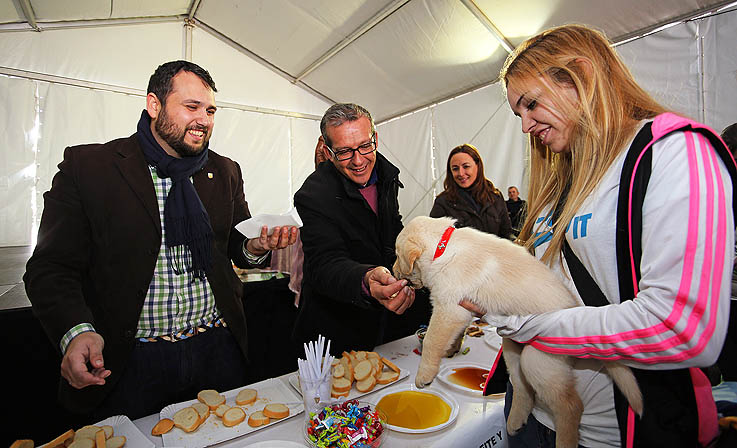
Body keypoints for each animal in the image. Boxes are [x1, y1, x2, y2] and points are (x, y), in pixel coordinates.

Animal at [392, 216, 640, 448]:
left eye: (396, 254)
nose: (393, 272)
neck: (442, 247)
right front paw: (450, 349)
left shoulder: (449, 308)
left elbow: (432, 340)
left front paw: (424, 375)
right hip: (512, 348)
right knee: (523, 388)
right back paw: (514, 422)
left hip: (538, 359)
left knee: (570, 405)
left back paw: (564, 440)